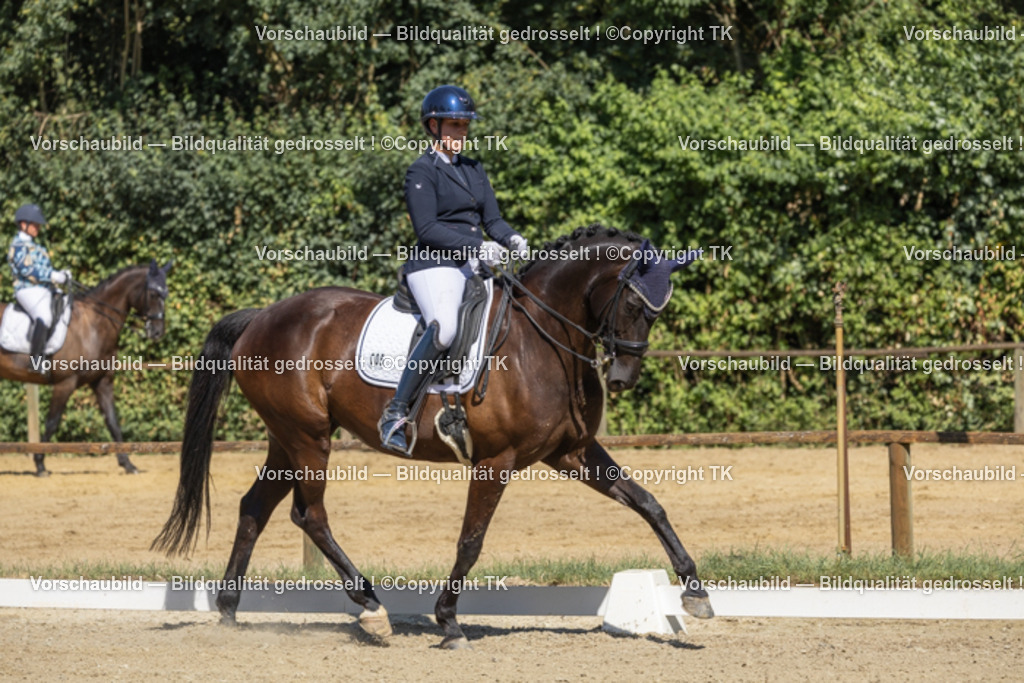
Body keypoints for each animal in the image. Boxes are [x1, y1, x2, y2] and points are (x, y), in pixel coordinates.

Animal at [0, 260, 172, 476]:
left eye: (166, 293)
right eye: (153, 293)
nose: (157, 332)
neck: (94, 325)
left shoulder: (102, 382)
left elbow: (113, 422)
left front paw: (127, 463)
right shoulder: (65, 384)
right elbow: (52, 423)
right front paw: (40, 464)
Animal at [153, 225, 713, 648]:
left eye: (656, 311)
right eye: (634, 306)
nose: (622, 378)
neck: (543, 338)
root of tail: (261, 317)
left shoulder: (570, 453)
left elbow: (648, 503)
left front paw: (696, 591)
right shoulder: (496, 460)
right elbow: (471, 540)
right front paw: (448, 621)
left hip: (287, 439)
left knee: (255, 508)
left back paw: (229, 611)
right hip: (308, 438)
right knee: (309, 515)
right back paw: (371, 607)